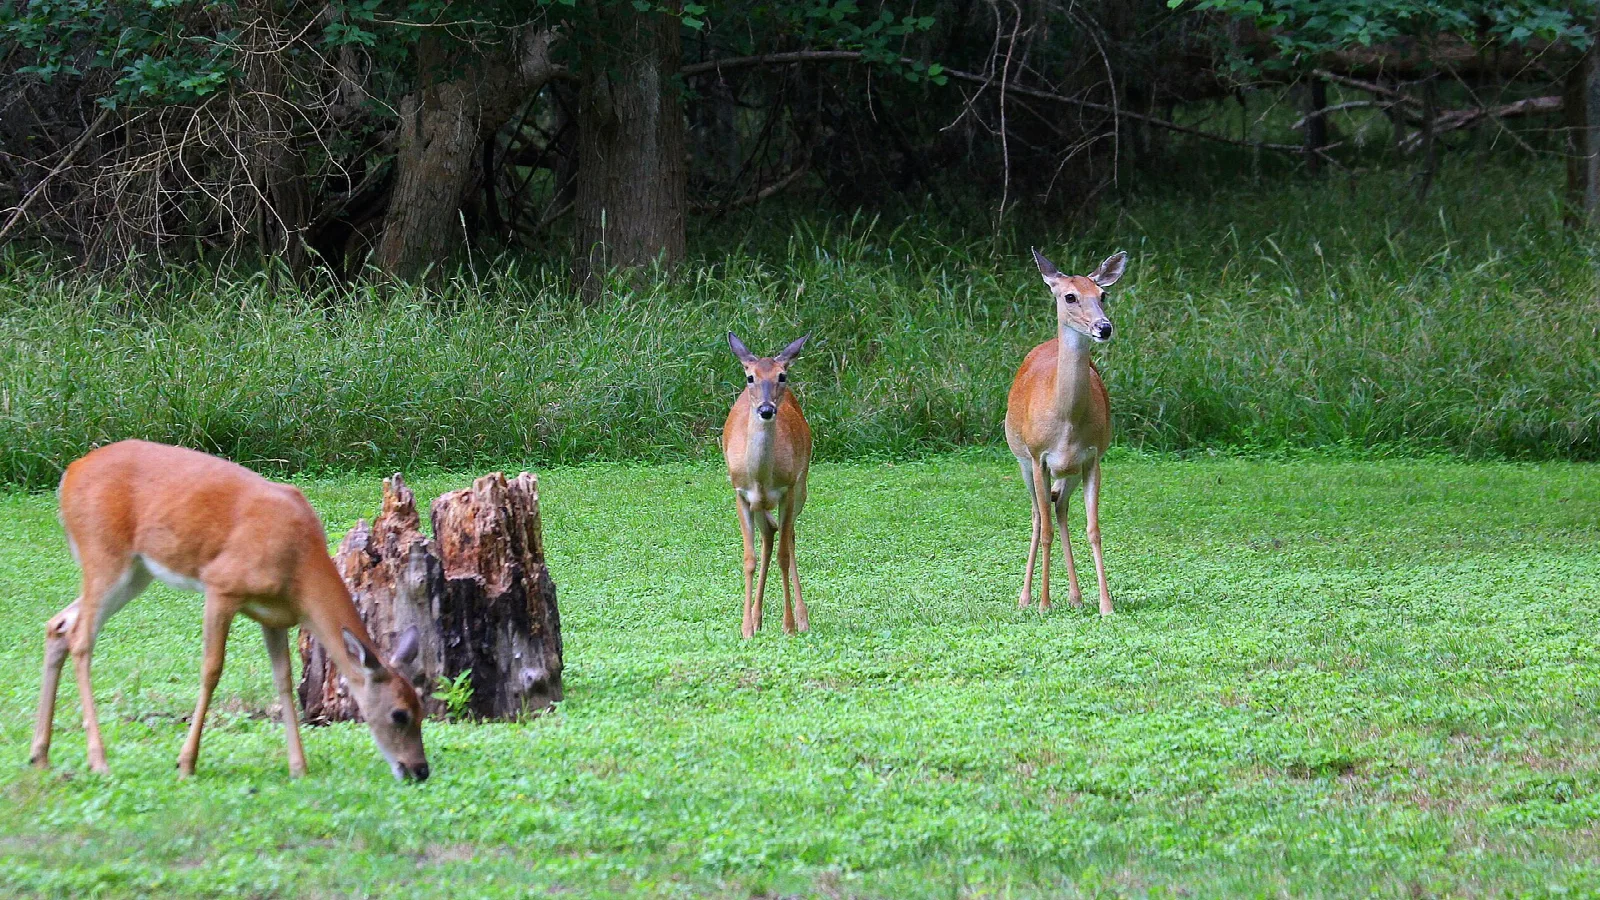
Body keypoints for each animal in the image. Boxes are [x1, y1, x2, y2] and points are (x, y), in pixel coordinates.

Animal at [29, 439, 430, 782]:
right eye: (399, 714)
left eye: (422, 709)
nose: (420, 770)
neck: (299, 565)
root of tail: (70, 473)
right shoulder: (221, 585)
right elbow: (211, 670)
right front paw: (186, 763)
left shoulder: (276, 615)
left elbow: (283, 680)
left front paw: (298, 767)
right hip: (103, 554)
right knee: (81, 638)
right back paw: (98, 761)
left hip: (135, 573)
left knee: (58, 625)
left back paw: (40, 755)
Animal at [722, 333, 813, 640]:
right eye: (750, 377)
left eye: (782, 375)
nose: (765, 409)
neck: (762, 476)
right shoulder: (740, 494)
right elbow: (749, 559)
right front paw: (746, 628)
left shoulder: (788, 489)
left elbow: (784, 556)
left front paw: (789, 625)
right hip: (760, 505)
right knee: (769, 536)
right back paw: (757, 617)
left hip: (802, 486)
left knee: (789, 537)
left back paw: (802, 619)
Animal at [1005, 249, 1127, 616]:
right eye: (1069, 296)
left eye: (1103, 294)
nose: (1104, 327)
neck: (1067, 422)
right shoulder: (1038, 457)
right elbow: (1044, 530)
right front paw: (1043, 603)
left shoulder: (1093, 458)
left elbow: (1094, 529)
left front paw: (1106, 605)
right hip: (1022, 460)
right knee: (1037, 516)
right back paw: (1026, 598)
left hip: (1069, 471)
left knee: (1059, 510)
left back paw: (1075, 596)